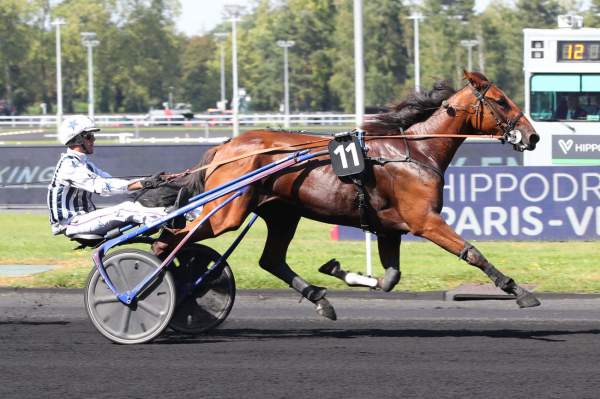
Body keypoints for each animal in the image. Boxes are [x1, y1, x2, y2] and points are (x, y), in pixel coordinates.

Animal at [152, 72, 540, 320]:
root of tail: (225, 146)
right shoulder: (424, 221)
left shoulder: (389, 228)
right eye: (501, 101)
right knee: (168, 239)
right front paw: (519, 291)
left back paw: (319, 299)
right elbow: (471, 253)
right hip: (226, 213)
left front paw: (339, 270)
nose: (532, 136)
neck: (416, 152)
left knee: (271, 260)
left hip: (282, 213)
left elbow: (390, 278)